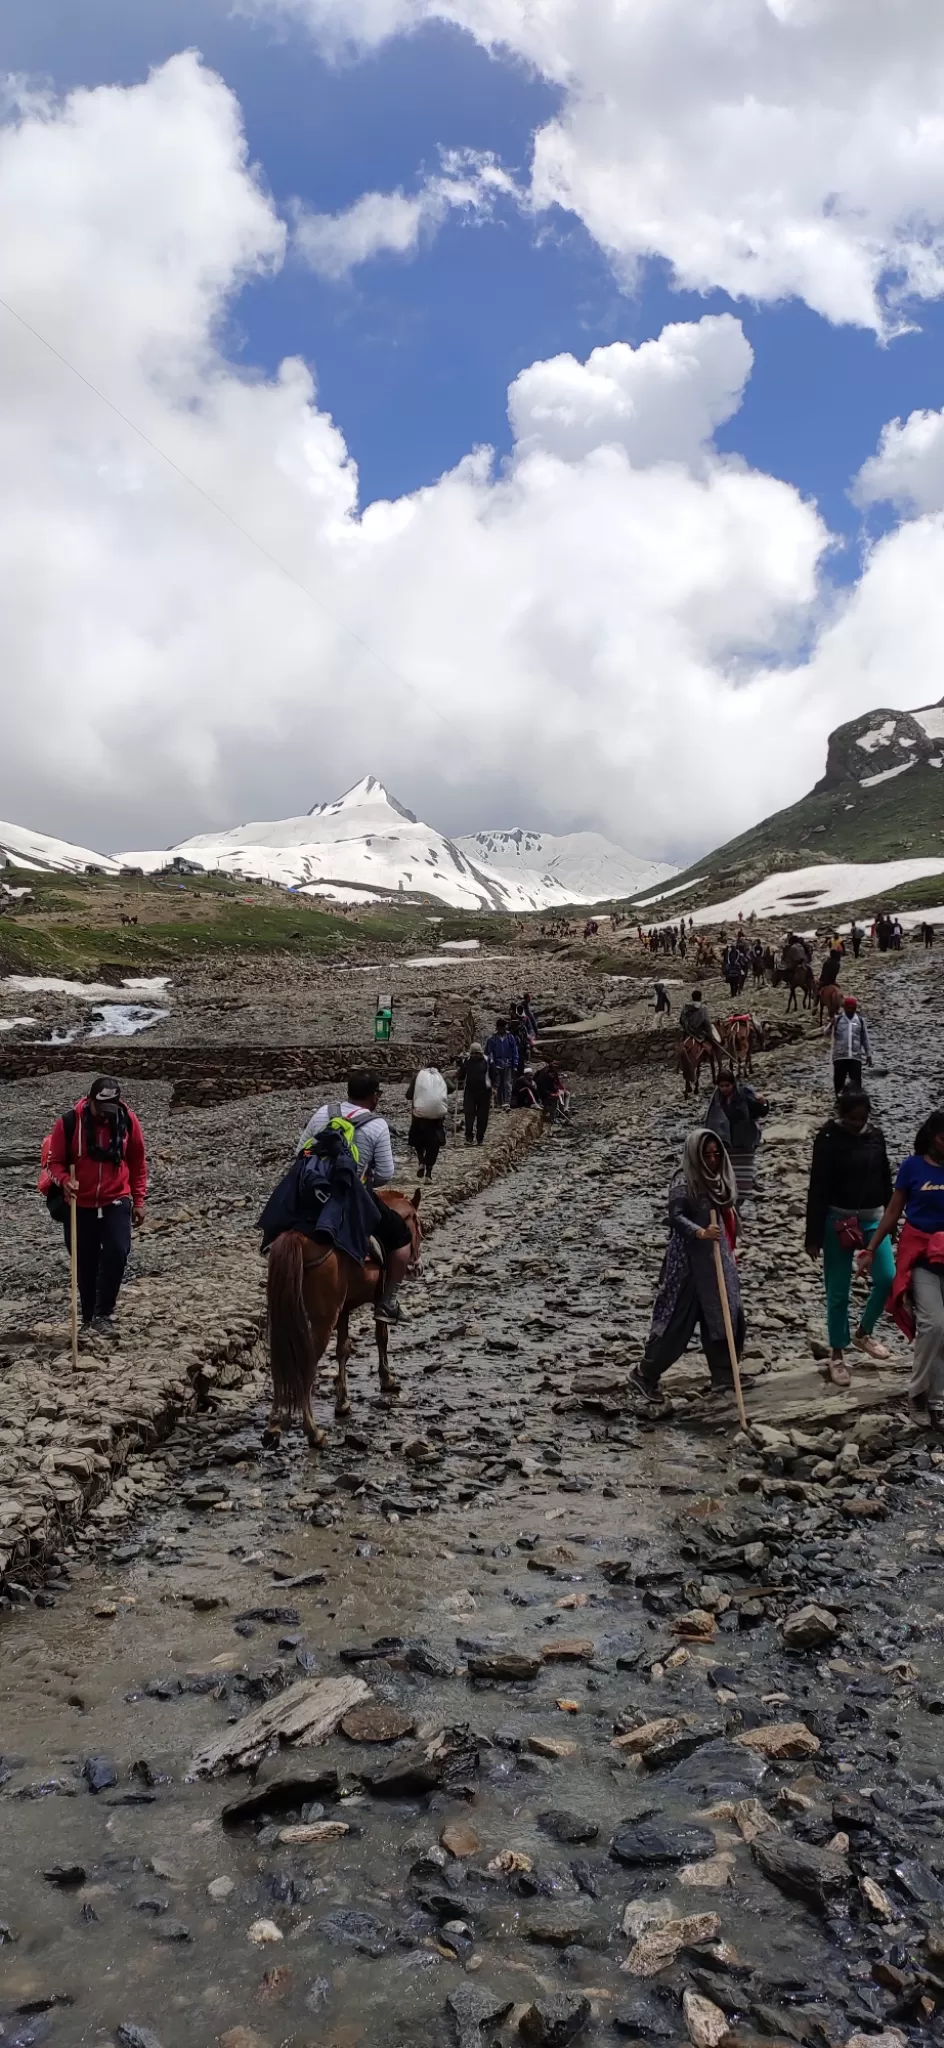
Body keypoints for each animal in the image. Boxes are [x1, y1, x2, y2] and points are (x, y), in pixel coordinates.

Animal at [259, 1187, 417, 1458]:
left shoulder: (343, 1310)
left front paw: (342, 1402)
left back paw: (274, 1427)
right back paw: (313, 1433)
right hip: (322, 1321)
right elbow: (381, 1336)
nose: (417, 1264)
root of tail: (298, 1240)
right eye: (418, 1223)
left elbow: (343, 1350)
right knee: (306, 1364)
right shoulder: (377, 1298)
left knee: (282, 1361)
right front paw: (387, 1379)